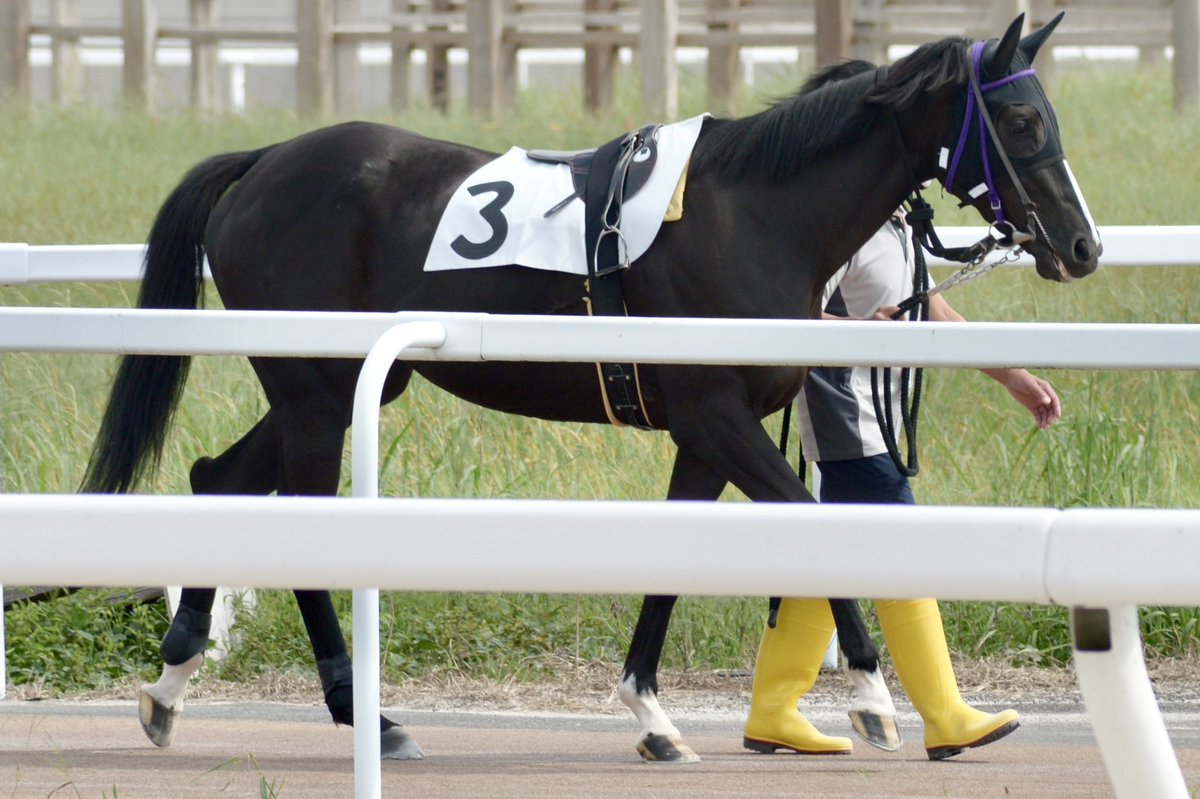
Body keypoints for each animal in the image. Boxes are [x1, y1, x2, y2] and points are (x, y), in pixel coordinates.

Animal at [81, 12, 1099, 763]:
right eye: (1018, 122)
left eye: (1049, 112)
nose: (1082, 245)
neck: (757, 211)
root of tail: (260, 162)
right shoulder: (720, 417)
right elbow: (817, 535)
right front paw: (874, 695)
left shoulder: (703, 432)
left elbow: (671, 566)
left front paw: (653, 716)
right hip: (320, 394)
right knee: (295, 528)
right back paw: (366, 714)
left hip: (330, 387)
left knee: (220, 479)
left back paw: (169, 686)